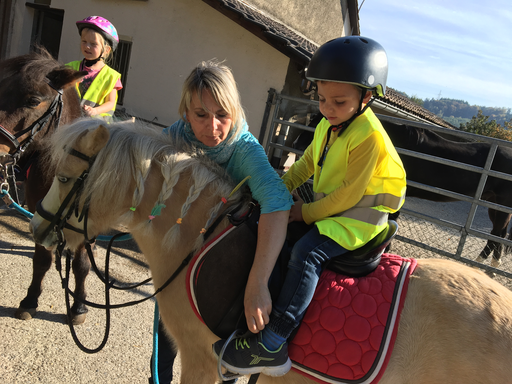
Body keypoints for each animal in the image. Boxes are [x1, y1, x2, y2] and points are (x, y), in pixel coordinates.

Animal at [0, 48, 96, 324]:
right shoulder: (40, 214)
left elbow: (81, 265)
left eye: (33, 101)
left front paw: (79, 307)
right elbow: (42, 259)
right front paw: (30, 300)